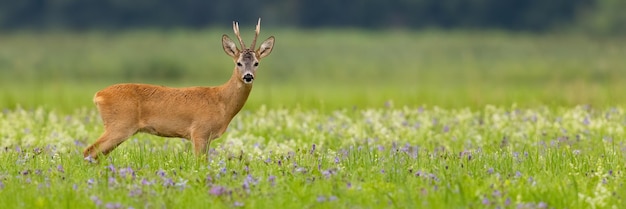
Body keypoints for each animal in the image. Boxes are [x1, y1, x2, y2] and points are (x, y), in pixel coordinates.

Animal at [82, 18, 272, 160]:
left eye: (256, 63)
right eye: (238, 63)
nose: (248, 76)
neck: (221, 102)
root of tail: (98, 95)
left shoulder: (207, 137)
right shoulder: (199, 131)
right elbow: (200, 163)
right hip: (119, 125)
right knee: (89, 151)